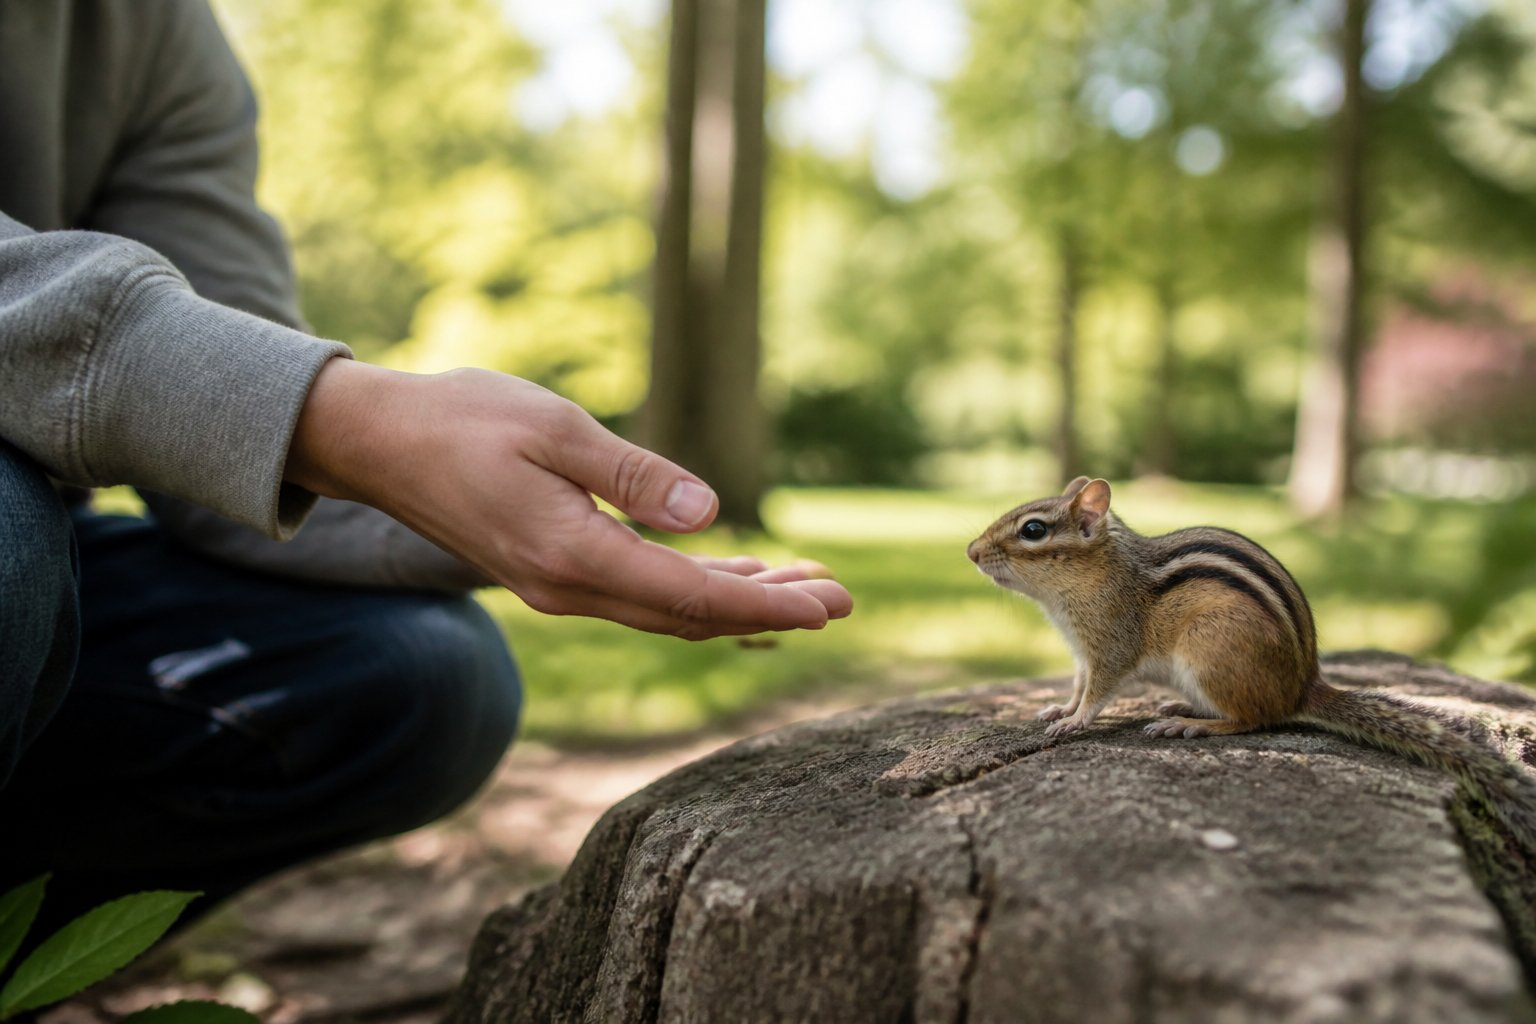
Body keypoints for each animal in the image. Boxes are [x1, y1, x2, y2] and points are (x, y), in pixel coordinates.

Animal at [967, 476, 1536, 840]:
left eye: (1033, 530)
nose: (970, 551)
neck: (1094, 576)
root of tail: (1303, 685)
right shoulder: (1082, 652)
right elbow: (1076, 684)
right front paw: (1059, 710)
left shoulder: (1111, 644)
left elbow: (1099, 690)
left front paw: (1075, 721)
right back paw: (1181, 708)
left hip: (1210, 650)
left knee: (1256, 718)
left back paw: (1192, 724)